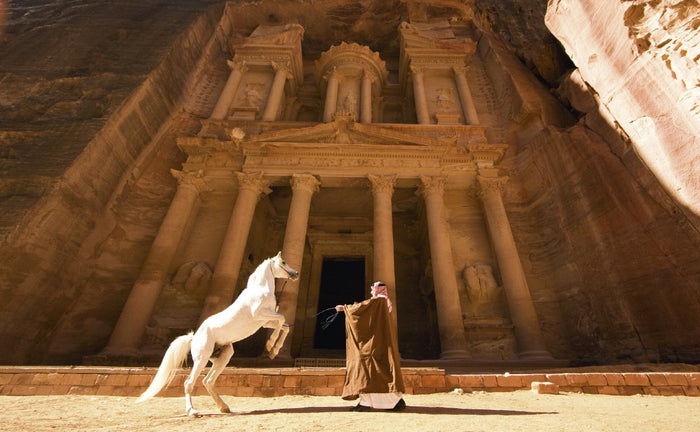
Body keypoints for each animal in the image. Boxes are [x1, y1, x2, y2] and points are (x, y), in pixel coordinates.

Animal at [136, 251, 299, 417]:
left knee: (207, 381)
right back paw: (192, 411)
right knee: (189, 382)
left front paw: (274, 350)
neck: (260, 289)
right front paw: (271, 345)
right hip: (202, 358)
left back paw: (223, 407)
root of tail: (193, 337)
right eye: (283, 262)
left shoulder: (265, 322)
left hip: (222, 357)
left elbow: (285, 326)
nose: (295, 273)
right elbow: (282, 319)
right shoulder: (259, 315)